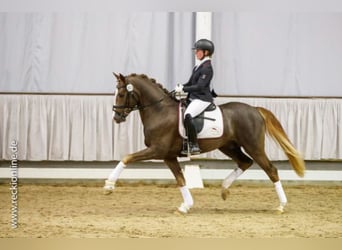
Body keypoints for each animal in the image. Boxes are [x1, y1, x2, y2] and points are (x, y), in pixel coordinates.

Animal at [103, 73, 304, 214]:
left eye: (122, 94)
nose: (116, 117)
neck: (159, 110)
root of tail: (254, 109)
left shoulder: (157, 150)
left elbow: (127, 157)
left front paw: (109, 186)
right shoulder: (168, 156)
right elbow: (180, 179)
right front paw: (186, 206)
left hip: (254, 147)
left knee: (271, 170)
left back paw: (281, 206)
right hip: (228, 146)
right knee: (245, 162)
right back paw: (224, 189)